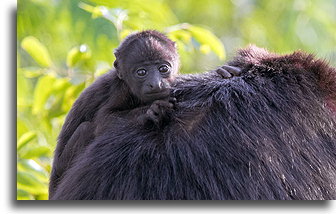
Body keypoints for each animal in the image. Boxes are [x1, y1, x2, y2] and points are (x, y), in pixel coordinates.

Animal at [48, 29, 240, 197]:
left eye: (163, 69)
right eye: (141, 72)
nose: (155, 83)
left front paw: (224, 71)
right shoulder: (120, 89)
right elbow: (103, 120)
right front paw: (149, 111)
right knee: (86, 128)